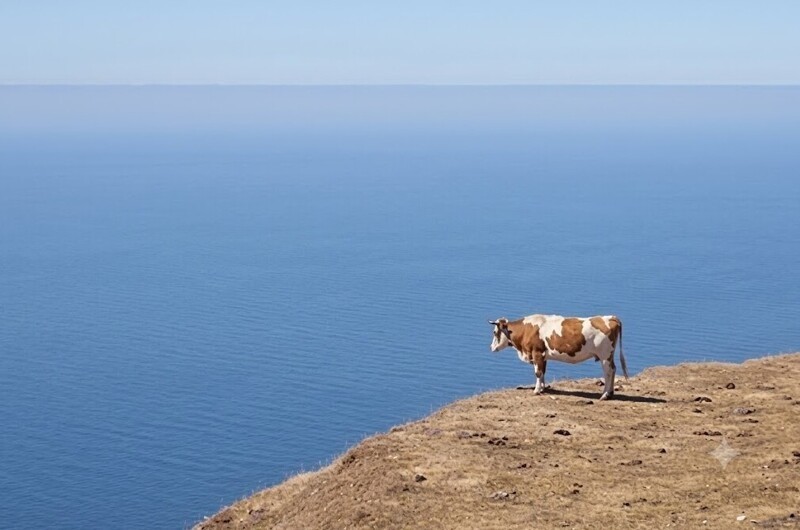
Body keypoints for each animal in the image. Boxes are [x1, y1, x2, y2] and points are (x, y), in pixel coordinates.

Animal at [489, 314, 628, 400]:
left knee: (608, 372)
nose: (491, 347)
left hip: (604, 355)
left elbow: (538, 372)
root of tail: (610, 317)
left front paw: (536, 390)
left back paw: (604, 395)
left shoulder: (537, 352)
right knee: (613, 370)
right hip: (609, 355)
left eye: (495, 332)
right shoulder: (543, 356)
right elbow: (543, 372)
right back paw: (610, 393)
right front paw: (543, 388)